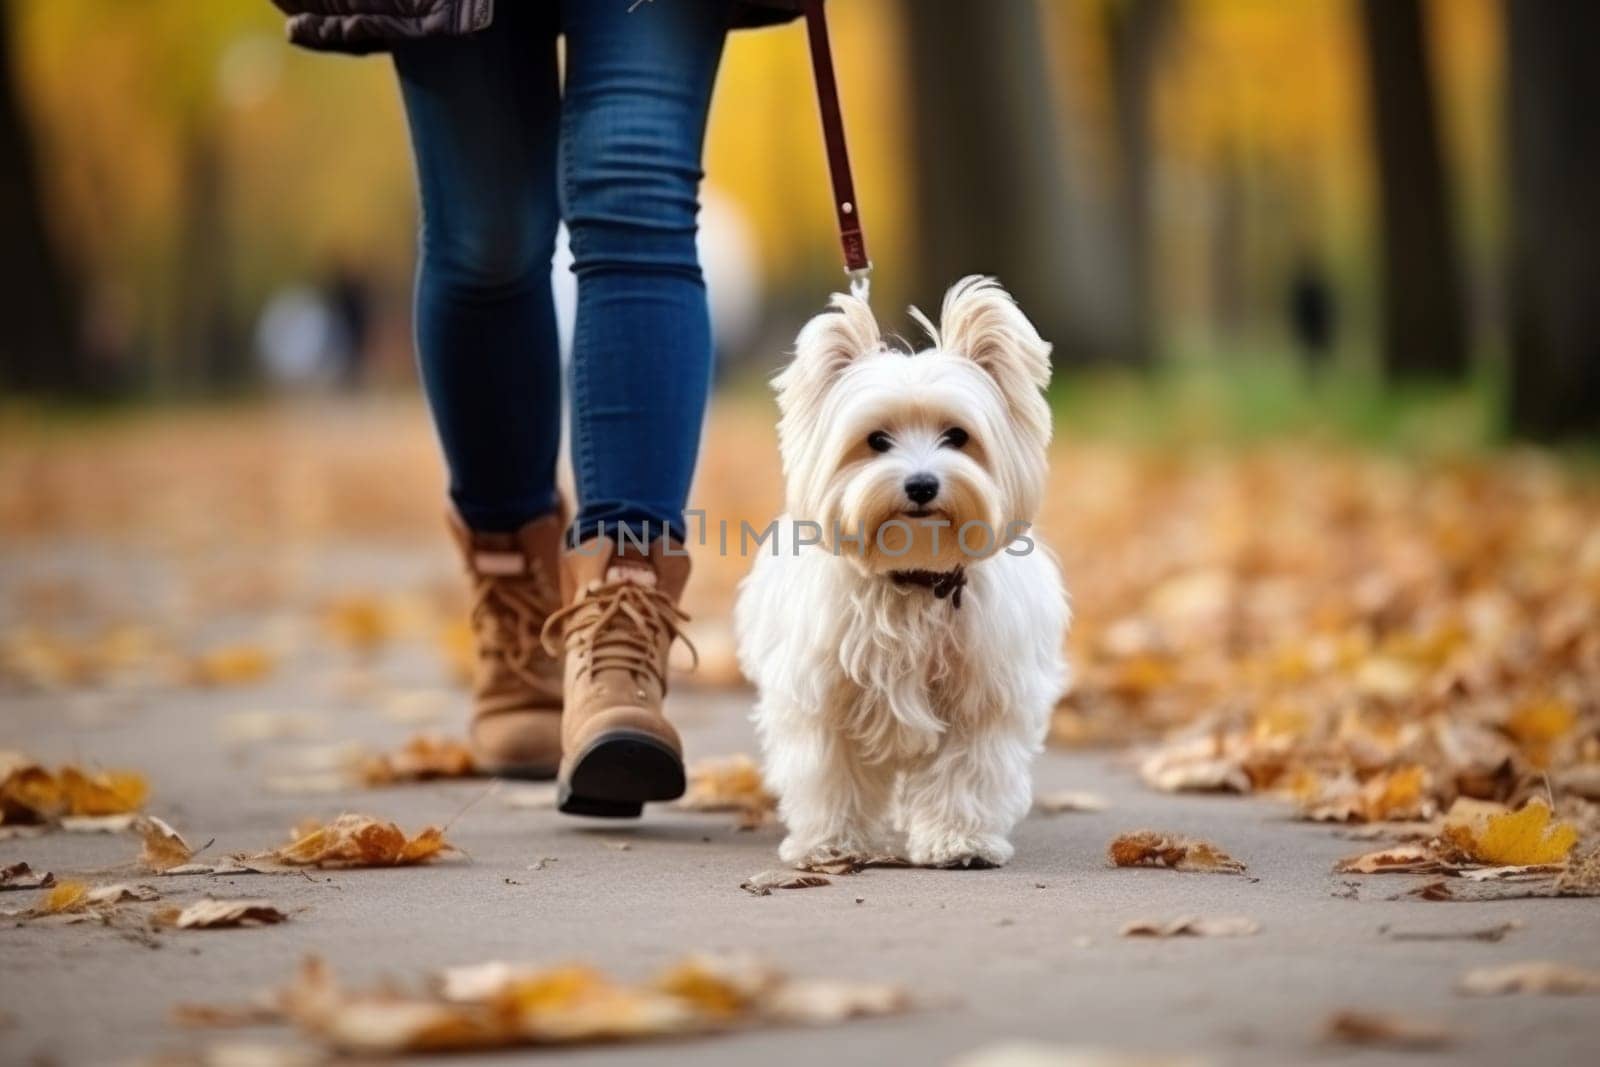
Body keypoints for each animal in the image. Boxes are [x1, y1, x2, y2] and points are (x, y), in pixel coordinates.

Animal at [739, 275, 1075, 870]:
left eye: (957, 436)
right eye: (876, 440)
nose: (921, 484)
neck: (916, 576)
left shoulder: (981, 698)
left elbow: (966, 773)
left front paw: (960, 840)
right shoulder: (824, 700)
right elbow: (831, 775)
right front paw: (831, 842)